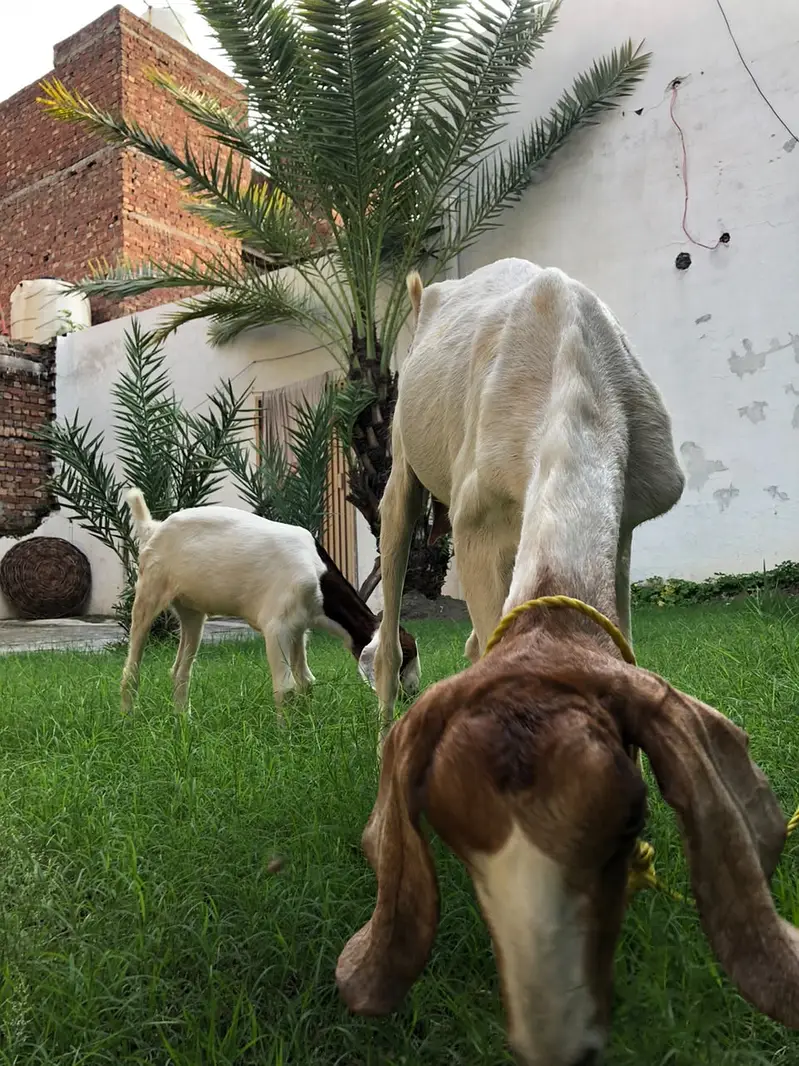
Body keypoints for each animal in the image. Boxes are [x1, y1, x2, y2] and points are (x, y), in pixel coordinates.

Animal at [120, 490, 419, 716]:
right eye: (403, 659)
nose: (413, 693)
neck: (317, 576)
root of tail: (154, 528)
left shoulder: (299, 629)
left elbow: (305, 681)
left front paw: (306, 727)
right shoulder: (277, 627)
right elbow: (285, 688)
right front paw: (285, 737)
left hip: (192, 611)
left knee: (180, 670)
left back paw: (183, 721)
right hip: (150, 591)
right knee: (132, 666)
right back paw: (128, 718)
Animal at [338, 260, 799, 1062]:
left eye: (625, 820)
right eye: (445, 832)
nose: (553, 1038)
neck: (567, 366)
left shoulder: (632, 513)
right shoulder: (476, 518)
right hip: (400, 472)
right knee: (392, 601)